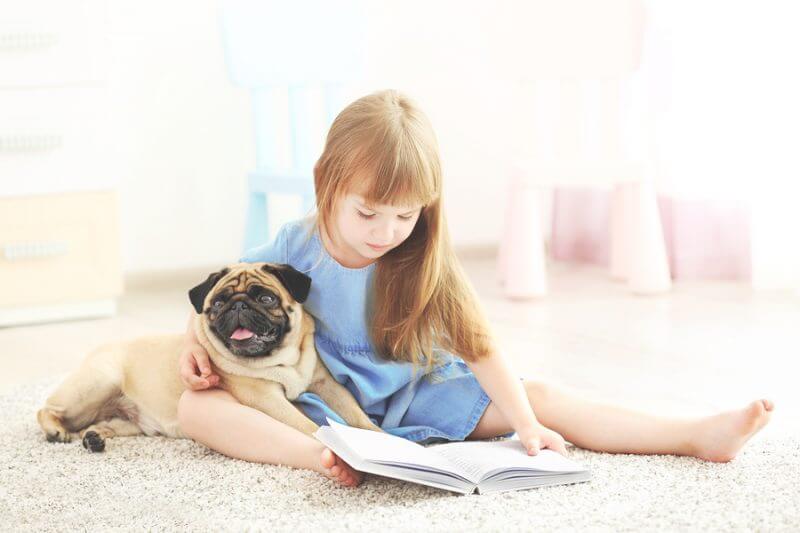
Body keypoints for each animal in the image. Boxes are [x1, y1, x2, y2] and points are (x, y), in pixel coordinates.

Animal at [39, 260, 382, 450]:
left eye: (267, 298)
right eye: (217, 304)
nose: (238, 306)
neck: (283, 360)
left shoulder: (326, 385)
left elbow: (355, 414)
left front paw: (378, 436)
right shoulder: (268, 399)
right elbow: (307, 425)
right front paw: (336, 442)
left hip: (128, 421)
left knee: (99, 424)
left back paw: (95, 437)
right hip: (97, 384)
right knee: (46, 409)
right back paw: (56, 430)